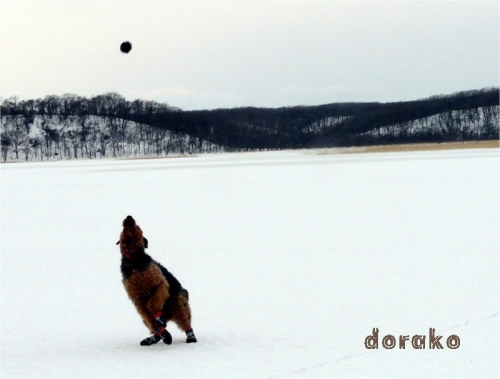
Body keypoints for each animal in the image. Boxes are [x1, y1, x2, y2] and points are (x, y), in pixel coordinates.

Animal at [117, 215, 197, 346]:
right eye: (122, 230)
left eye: (138, 227)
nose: (129, 217)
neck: (133, 258)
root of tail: (169, 316)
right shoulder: (137, 298)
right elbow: (151, 318)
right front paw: (165, 333)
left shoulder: (160, 284)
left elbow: (153, 305)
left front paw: (158, 316)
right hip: (146, 318)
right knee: (154, 326)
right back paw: (156, 337)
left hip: (178, 302)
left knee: (186, 323)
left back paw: (190, 336)